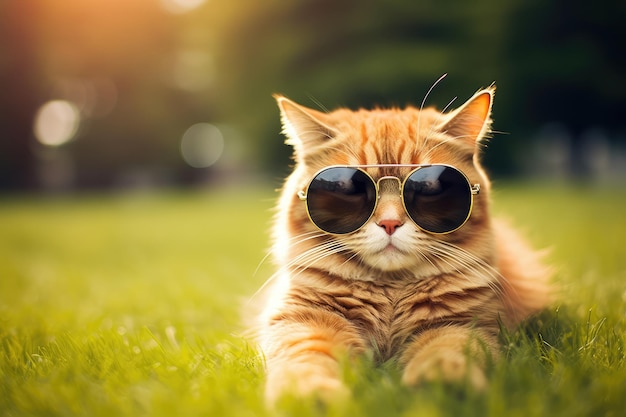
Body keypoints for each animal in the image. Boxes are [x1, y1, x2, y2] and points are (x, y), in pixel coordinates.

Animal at [256, 85, 548, 404]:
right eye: (348, 187)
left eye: (429, 186)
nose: (389, 223)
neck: (390, 292)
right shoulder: (304, 320)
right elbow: (306, 358)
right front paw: (309, 395)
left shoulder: (463, 326)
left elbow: (445, 352)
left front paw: (442, 385)